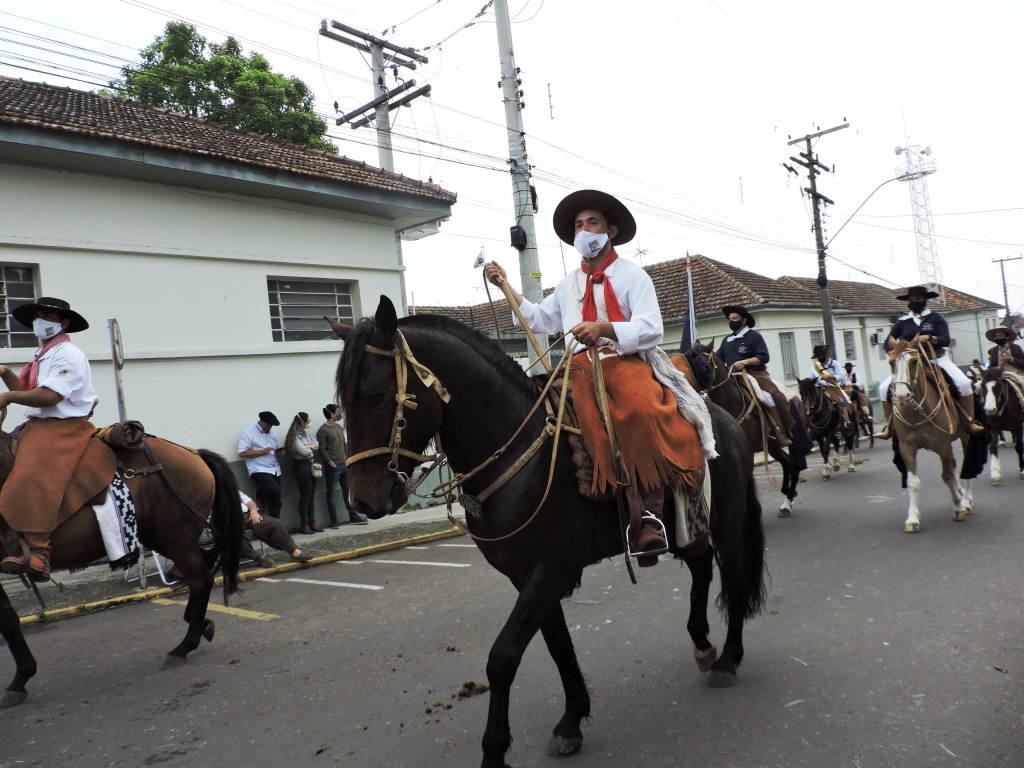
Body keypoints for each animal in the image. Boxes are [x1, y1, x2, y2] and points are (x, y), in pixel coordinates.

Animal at [0, 430, 241, 708]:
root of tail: (192, 453)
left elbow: (7, 621)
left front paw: (20, 678)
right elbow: (8, 619)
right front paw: (21, 677)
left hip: (175, 537)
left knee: (201, 580)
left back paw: (183, 647)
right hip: (163, 538)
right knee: (200, 572)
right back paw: (199, 624)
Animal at [331, 296, 765, 768]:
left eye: (375, 397)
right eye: (342, 405)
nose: (362, 500)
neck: (517, 455)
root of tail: (724, 420)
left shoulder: (551, 571)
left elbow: (502, 657)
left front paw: (495, 750)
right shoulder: (528, 577)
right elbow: (557, 644)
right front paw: (572, 719)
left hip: (727, 524)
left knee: (734, 577)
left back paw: (728, 661)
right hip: (689, 525)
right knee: (702, 569)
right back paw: (703, 645)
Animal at [679, 342, 806, 518]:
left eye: (703, 362)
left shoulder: (748, 452)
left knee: (792, 464)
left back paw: (787, 503)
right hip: (772, 447)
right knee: (788, 463)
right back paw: (787, 494)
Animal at [888, 344, 974, 536]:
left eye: (914, 361)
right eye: (891, 362)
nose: (901, 396)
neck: (916, 411)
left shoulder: (942, 445)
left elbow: (948, 476)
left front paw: (958, 508)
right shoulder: (907, 447)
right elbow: (913, 483)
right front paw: (912, 519)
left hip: (965, 436)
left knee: (966, 466)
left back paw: (966, 500)